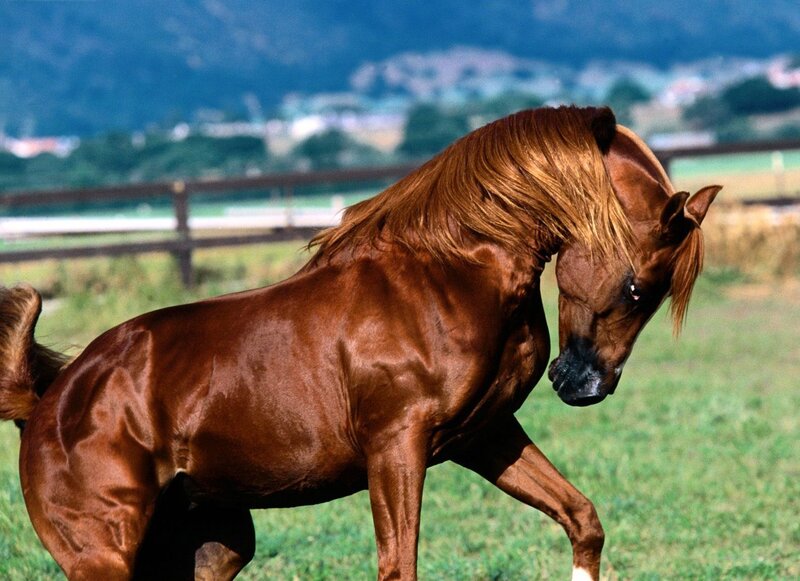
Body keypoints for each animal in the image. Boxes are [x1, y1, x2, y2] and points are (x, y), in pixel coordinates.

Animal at [0, 106, 719, 580]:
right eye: (638, 287)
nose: (584, 385)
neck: (448, 273)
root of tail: (48, 402)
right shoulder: (396, 448)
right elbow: (399, 566)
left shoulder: (484, 434)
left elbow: (582, 517)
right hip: (106, 556)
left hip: (214, 545)